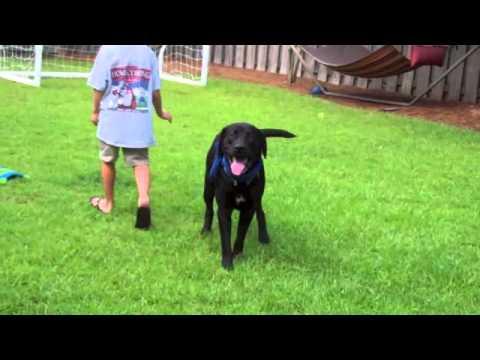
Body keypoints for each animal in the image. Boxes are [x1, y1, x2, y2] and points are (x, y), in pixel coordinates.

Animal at [200, 122, 296, 268]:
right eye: (232, 135)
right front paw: (227, 262)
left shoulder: (248, 209)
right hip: (208, 188)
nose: (239, 147)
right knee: (209, 209)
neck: (239, 181)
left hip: (258, 197)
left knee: (261, 212)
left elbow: (241, 234)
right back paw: (206, 230)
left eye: (250, 137)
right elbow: (225, 237)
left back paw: (263, 236)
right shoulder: (224, 210)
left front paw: (237, 255)